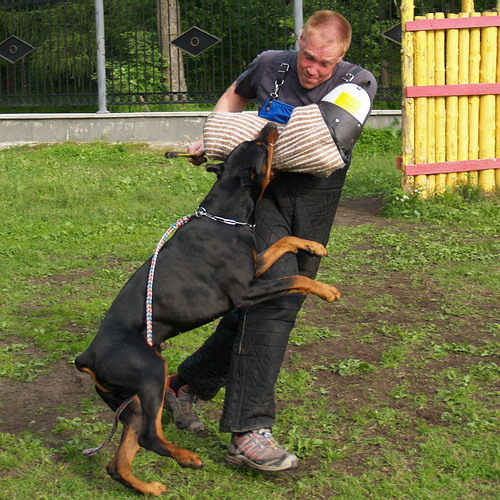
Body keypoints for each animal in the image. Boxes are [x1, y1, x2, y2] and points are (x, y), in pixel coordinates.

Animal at [75, 124, 340, 496]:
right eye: (261, 146)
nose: (271, 125)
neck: (225, 218)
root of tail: (87, 356)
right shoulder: (245, 292)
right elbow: (295, 277)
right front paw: (327, 290)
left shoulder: (256, 267)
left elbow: (283, 242)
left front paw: (312, 245)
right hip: (151, 372)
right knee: (149, 437)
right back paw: (187, 458)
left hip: (130, 402)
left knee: (118, 462)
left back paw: (148, 487)